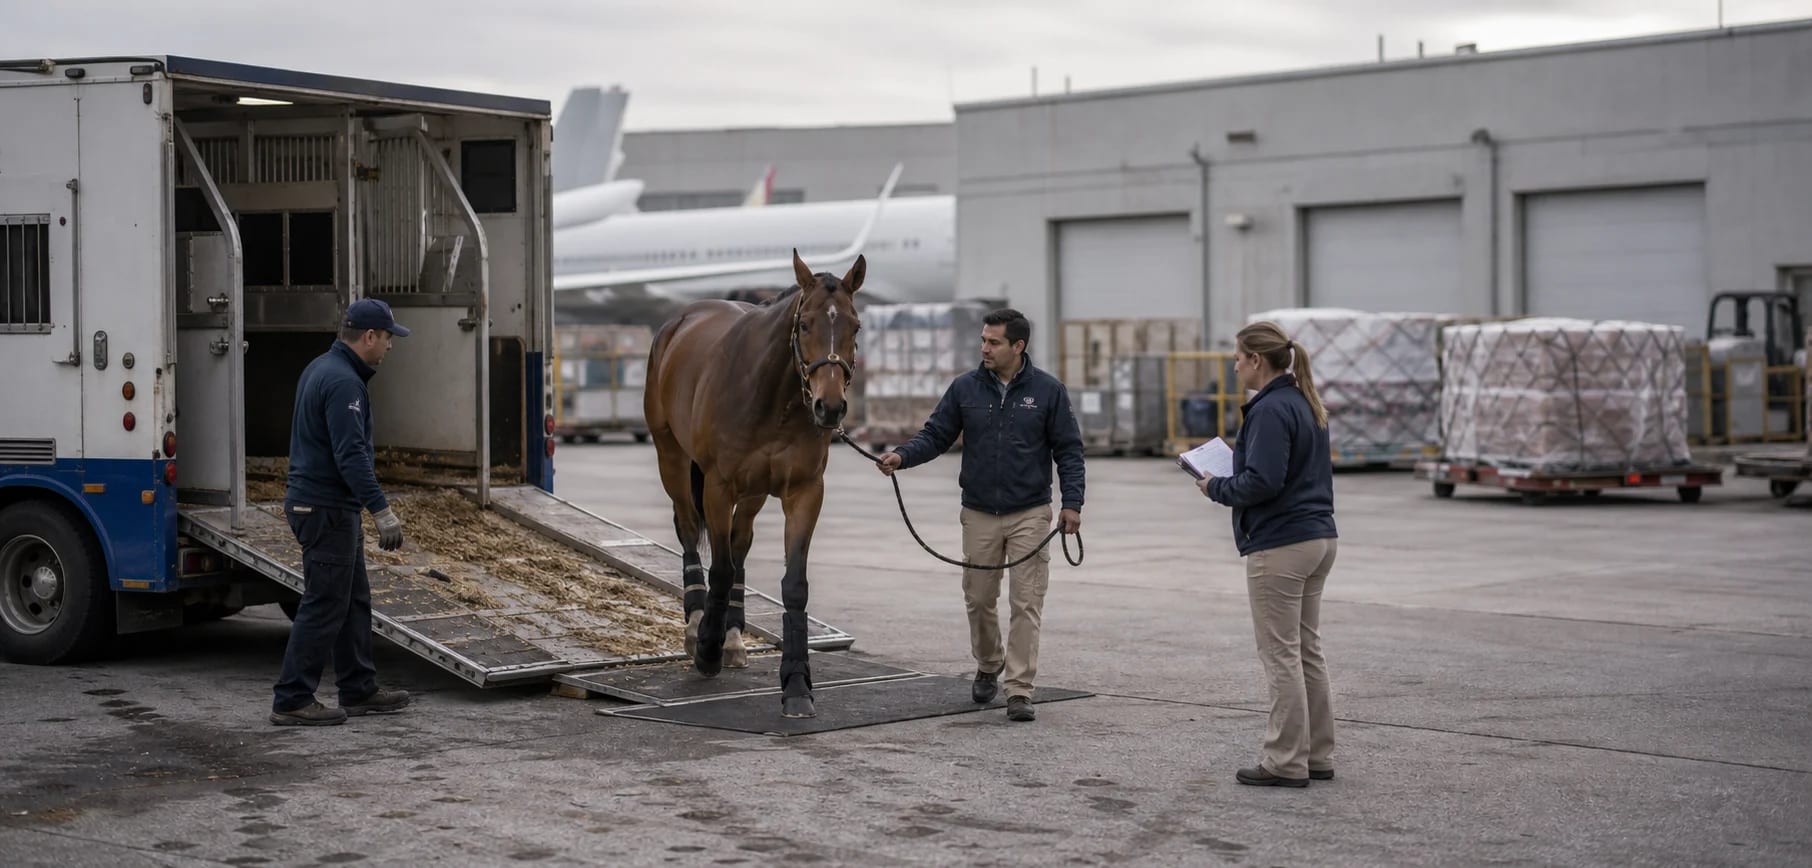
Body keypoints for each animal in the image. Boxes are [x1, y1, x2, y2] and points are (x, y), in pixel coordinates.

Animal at [643, 250, 863, 718]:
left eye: (855, 326)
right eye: (805, 325)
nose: (830, 407)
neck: (772, 397)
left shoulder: (804, 492)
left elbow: (793, 585)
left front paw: (796, 684)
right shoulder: (718, 486)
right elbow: (720, 568)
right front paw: (706, 650)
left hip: (755, 492)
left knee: (740, 543)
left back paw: (732, 637)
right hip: (671, 457)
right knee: (689, 530)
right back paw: (697, 627)